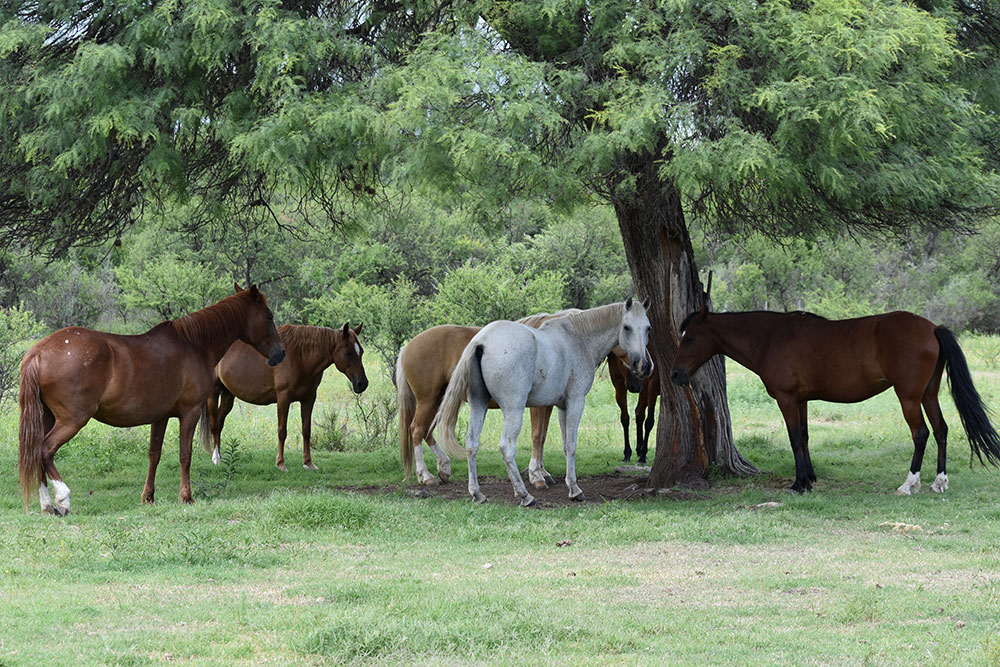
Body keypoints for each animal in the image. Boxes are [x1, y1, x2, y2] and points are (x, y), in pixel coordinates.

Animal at [19, 284, 286, 516]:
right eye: (269, 316)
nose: (280, 353)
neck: (195, 345)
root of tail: (39, 351)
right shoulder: (189, 413)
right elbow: (185, 454)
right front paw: (186, 496)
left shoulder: (160, 417)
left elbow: (153, 455)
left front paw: (148, 497)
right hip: (72, 420)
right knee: (45, 450)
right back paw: (62, 499)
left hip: (46, 418)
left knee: (36, 452)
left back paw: (46, 505)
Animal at [207, 322, 368, 470]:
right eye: (348, 352)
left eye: (362, 352)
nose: (362, 383)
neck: (300, 357)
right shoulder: (283, 398)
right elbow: (282, 431)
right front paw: (280, 464)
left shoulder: (309, 398)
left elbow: (306, 430)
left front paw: (308, 463)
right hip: (213, 394)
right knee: (214, 423)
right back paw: (215, 459)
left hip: (228, 395)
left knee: (219, 422)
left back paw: (219, 457)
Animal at [432, 298, 656, 506]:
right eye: (626, 327)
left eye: (648, 328)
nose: (643, 365)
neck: (578, 339)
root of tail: (481, 342)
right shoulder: (576, 402)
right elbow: (571, 445)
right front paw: (575, 490)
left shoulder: (562, 407)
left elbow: (565, 446)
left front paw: (570, 485)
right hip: (514, 410)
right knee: (507, 448)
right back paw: (525, 495)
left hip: (479, 404)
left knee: (472, 443)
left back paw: (477, 493)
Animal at [672, 310, 1000, 494]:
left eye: (690, 338)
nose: (675, 374)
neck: (771, 337)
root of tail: (932, 327)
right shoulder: (801, 400)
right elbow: (804, 437)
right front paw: (809, 478)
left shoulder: (787, 399)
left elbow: (794, 439)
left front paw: (799, 485)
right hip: (928, 394)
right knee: (942, 430)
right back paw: (938, 482)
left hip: (908, 397)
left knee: (921, 434)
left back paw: (909, 484)